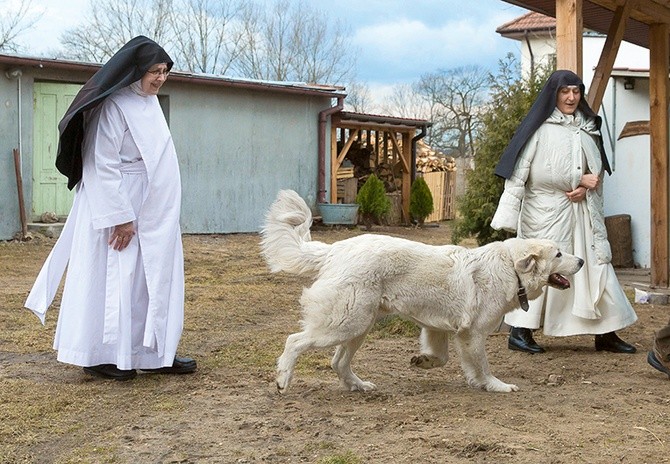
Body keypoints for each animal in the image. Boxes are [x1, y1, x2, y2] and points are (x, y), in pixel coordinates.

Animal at [260, 188, 584, 392]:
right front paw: (495, 386)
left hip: (359, 325)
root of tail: (334, 250)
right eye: (559, 254)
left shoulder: (438, 328)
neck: (510, 267)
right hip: (344, 322)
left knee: (338, 362)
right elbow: (482, 365)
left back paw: (358, 386)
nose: (581, 261)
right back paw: (283, 379)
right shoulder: (473, 334)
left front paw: (424, 362)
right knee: (295, 341)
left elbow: (442, 358)